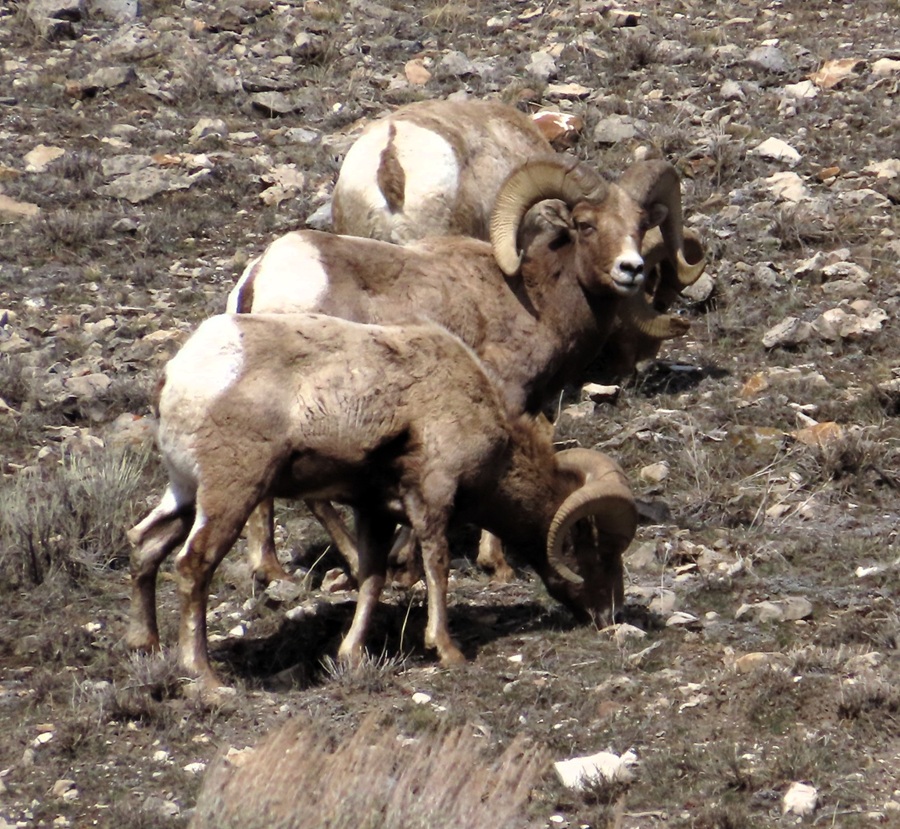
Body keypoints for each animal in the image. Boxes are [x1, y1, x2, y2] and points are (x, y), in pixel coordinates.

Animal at [127, 313, 638, 688]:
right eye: (597, 551)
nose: (609, 615)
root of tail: (176, 376)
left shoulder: (373, 511)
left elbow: (372, 578)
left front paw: (351, 655)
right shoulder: (433, 498)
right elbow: (436, 566)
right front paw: (447, 650)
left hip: (184, 495)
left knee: (145, 546)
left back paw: (146, 646)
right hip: (230, 495)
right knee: (193, 566)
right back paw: (206, 677)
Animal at [227, 154, 704, 585]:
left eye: (639, 225)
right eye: (586, 224)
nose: (631, 269)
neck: (534, 300)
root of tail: (261, 280)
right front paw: (494, 565)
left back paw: (273, 570)